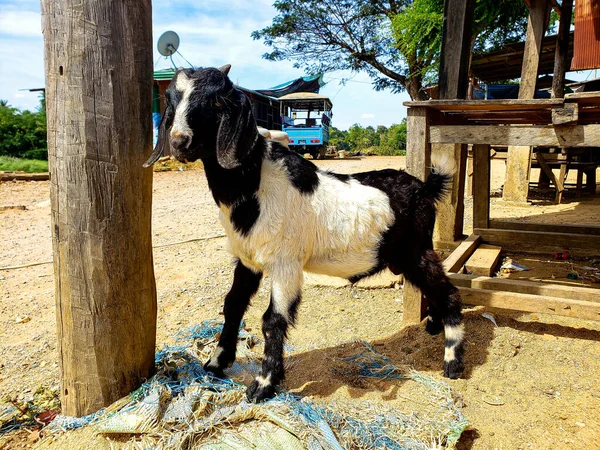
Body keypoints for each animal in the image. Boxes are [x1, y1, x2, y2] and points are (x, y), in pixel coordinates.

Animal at [144, 65, 464, 402]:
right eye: (171, 100)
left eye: (216, 102)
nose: (179, 141)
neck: (256, 183)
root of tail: (426, 187)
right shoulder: (247, 259)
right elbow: (232, 305)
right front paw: (216, 363)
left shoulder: (286, 262)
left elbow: (273, 320)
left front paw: (263, 384)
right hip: (404, 256)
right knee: (432, 288)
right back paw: (434, 327)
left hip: (416, 248)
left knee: (449, 292)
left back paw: (453, 362)